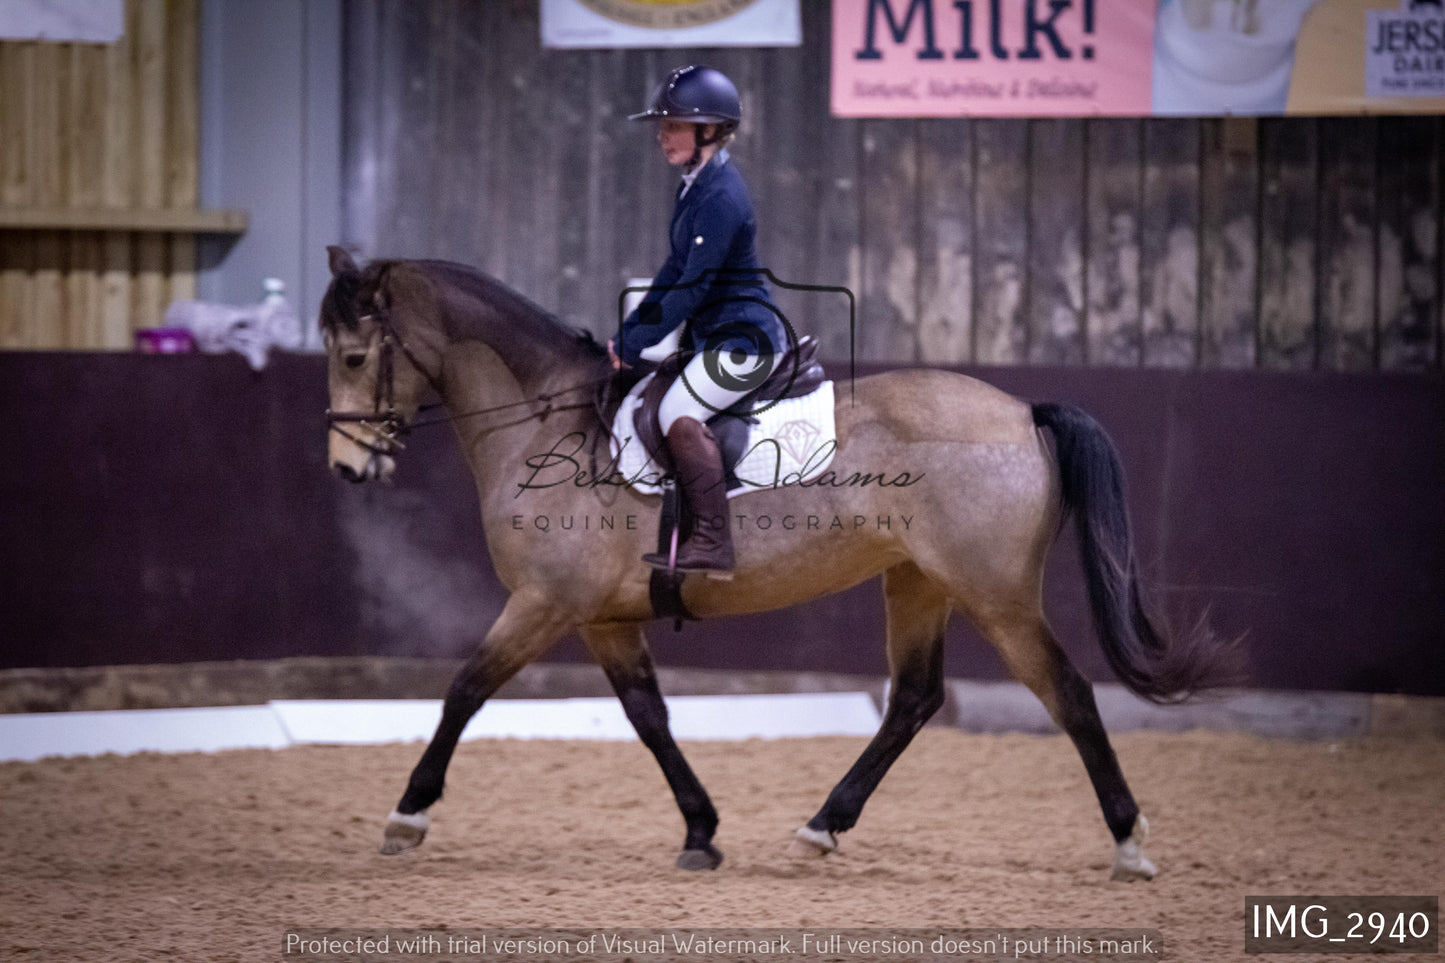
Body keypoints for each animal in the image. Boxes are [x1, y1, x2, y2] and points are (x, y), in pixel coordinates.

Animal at [316, 245, 1231, 879]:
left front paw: (408, 815)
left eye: (354, 357)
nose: (346, 468)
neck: (546, 419)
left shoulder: (545, 601)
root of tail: (1019, 412)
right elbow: (649, 717)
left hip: (995, 593)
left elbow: (464, 689)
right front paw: (699, 831)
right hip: (917, 581)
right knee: (912, 699)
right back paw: (819, 828)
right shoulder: (603, 617)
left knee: (1066, 693)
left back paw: (1128, 844)